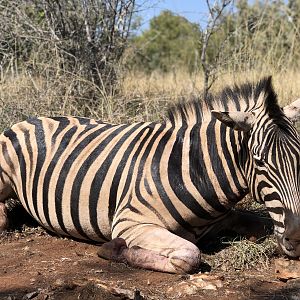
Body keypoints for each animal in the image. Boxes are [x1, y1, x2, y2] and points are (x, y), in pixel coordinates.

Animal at [0, 76, 298, 274]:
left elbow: (262, 225)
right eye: (259, 161)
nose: (296, 238)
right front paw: (114, 250)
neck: (194, 170)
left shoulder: (229, 216)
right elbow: (189, 256)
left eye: (299, 158)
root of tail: (33, 117)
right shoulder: (131, 222)